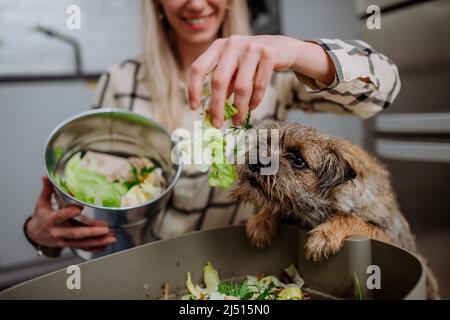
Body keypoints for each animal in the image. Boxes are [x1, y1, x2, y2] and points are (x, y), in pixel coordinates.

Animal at [232, 120, 440, 300]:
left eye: (298, 160)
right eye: (264, 144)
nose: (256, 162)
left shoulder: (388, 234)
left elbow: (351, 218)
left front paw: (325, 234)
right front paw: (261, 222)